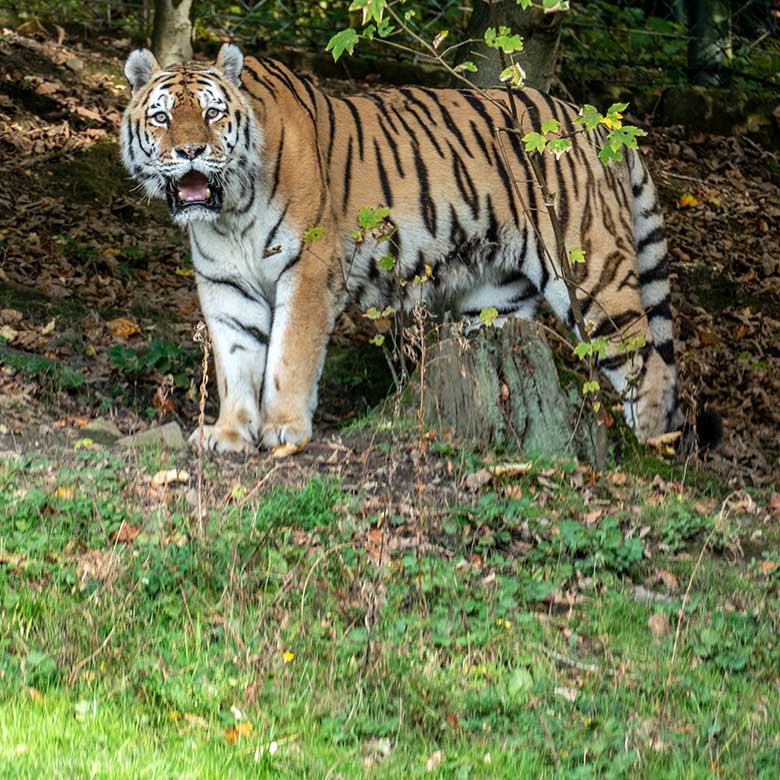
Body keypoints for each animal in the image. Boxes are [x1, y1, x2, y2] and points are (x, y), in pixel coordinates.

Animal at [120, 42, 712, 454]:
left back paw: (650, 453)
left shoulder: (309, 268)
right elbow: (236, 359)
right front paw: (228, 433)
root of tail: (600, 127)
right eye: (162, 117)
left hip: (593, 275)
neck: (228, 213)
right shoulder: (225, 284)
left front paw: (284, 429)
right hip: (497, 295)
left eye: (213, 114)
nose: (190, 151)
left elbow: (289, 355)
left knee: (649, 366)